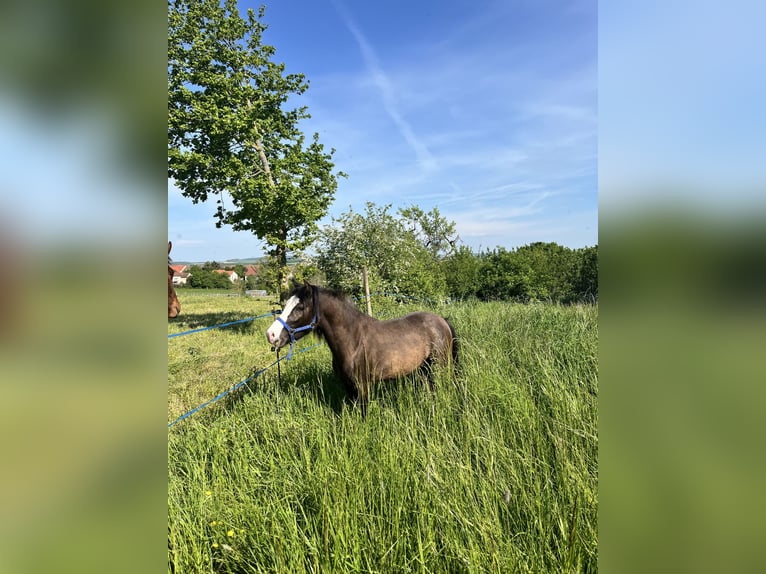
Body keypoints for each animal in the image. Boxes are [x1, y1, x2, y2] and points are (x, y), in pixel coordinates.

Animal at [266, 282, 458, 414]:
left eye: (300, 307)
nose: (271, 335)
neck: (353, 340)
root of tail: (442, 320)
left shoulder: (362, 386)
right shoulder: (348, 386)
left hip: (441, 365)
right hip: (425, 368)